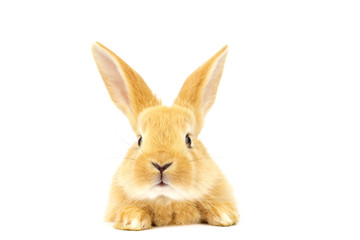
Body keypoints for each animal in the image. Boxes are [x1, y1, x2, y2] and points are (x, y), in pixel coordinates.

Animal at [92, 42, 239, 230]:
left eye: (188, 139)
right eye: (139, 140)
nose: (161, 164)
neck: (166, 200)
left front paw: (224, 215)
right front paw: (132, 219)